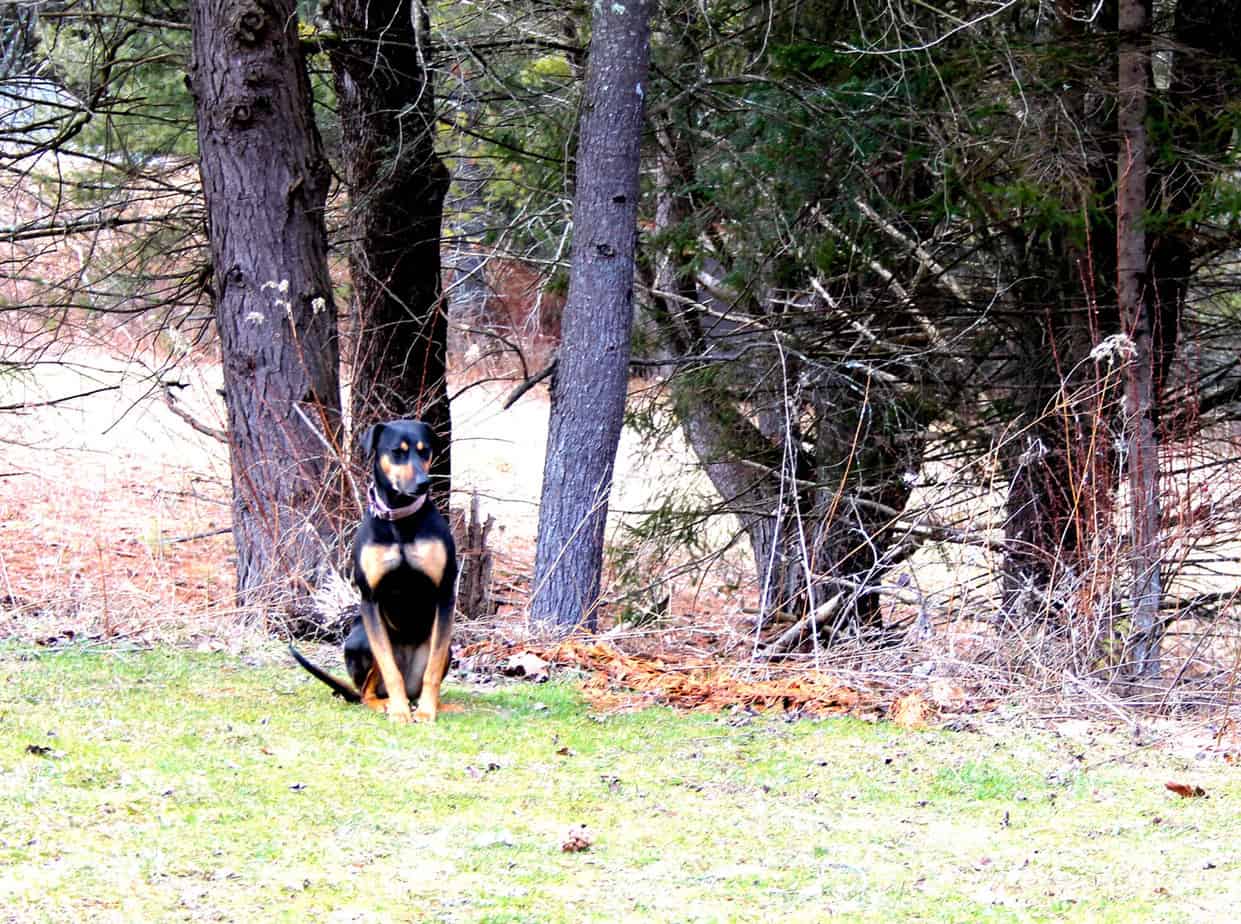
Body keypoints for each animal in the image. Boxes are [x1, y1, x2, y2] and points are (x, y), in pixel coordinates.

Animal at [289, 416, 456, 719]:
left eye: (425, 451)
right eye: (398, 452)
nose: (423, 483)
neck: (400, 519)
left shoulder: (445, 594)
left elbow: (433, 669)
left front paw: (427, 712)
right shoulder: (370, 598)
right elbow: (389, 669)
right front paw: (400, 712)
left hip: (447, 645)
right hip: (361, 637)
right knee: (366, 692)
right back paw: (387, 703)